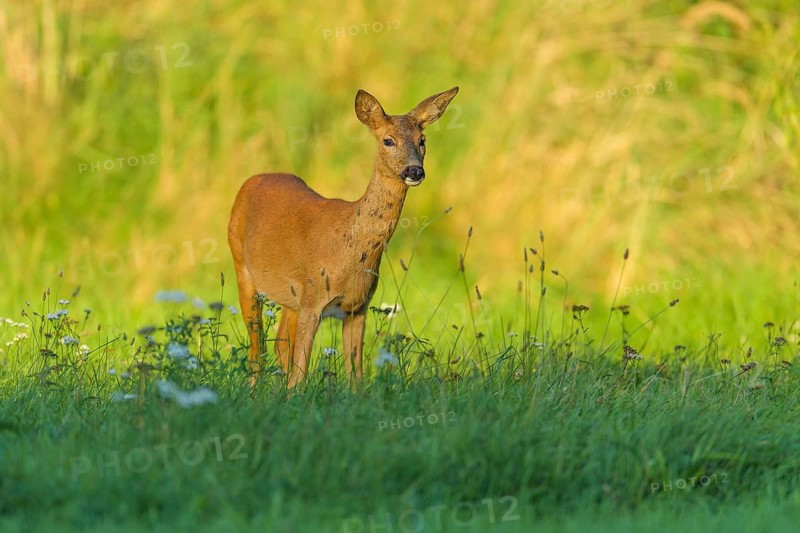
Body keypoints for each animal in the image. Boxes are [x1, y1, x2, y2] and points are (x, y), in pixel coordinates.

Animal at [228, 86, 459, 388]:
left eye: (422, 140)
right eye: (388, 140)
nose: (414, 171)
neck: (350, 250)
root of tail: (254, 179)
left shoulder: (357, 308)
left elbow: (355, 378)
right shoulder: (313, 301)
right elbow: (299, 377)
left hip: (291, 298)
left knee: (279, 344)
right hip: (242, 268)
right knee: (257, 350)